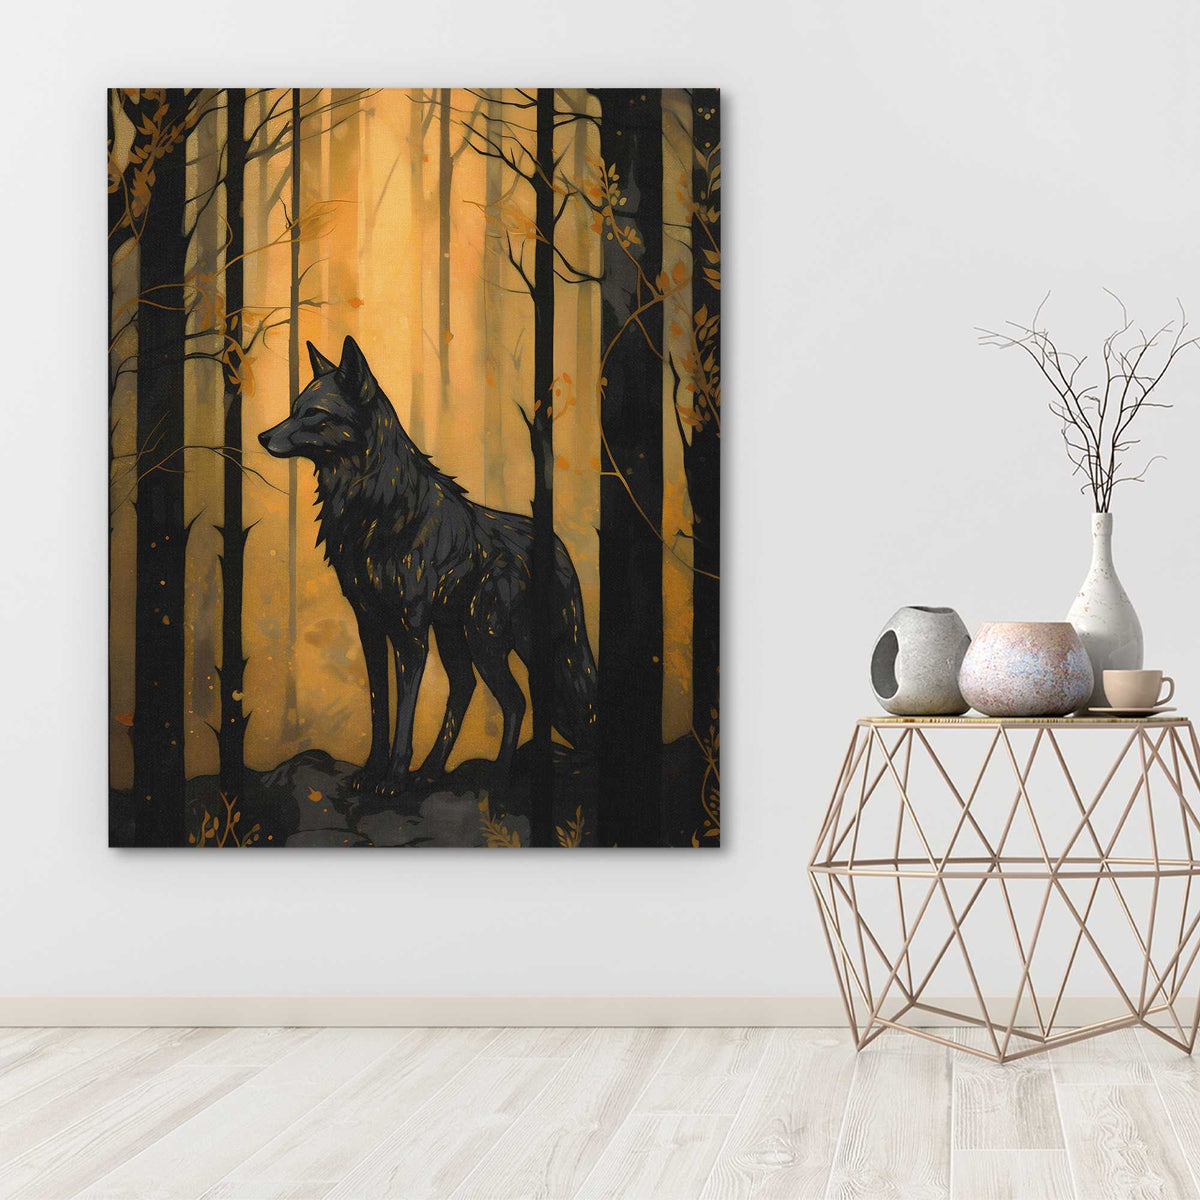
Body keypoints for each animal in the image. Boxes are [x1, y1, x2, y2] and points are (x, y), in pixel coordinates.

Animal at [259, 336, 597, 796]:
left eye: (313, 413)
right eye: (294, 408)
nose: (261, 436)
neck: (373, 507)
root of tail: (556, 543)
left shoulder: (411, 632)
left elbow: (405, 712)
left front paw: (393, 777)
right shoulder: (370, 624)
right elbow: (379, 708)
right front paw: (371, 771)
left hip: (485, 637)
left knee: (515, 700)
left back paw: (498, 776)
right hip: (458, 634)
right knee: (466, 687)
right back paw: (434, 770)